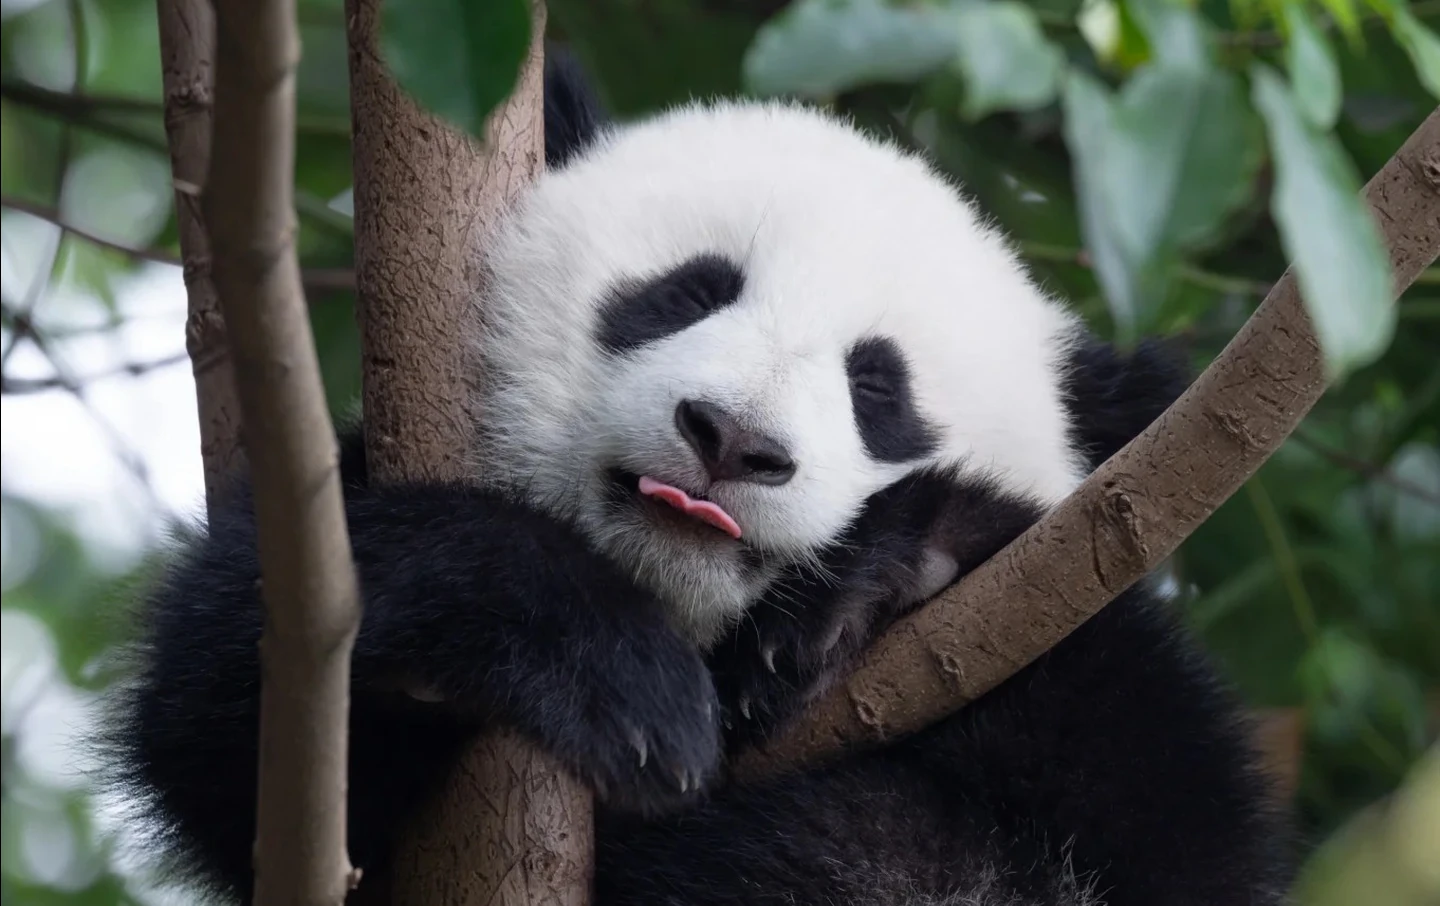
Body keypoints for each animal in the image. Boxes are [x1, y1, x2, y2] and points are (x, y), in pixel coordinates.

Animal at [106, 49, 1293, 906]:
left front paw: (868, 587)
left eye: (879, 389)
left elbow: (1132, 799)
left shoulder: (1118, 701)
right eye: (687, 293)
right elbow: (223, 693)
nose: (731, 441)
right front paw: (619, 678)